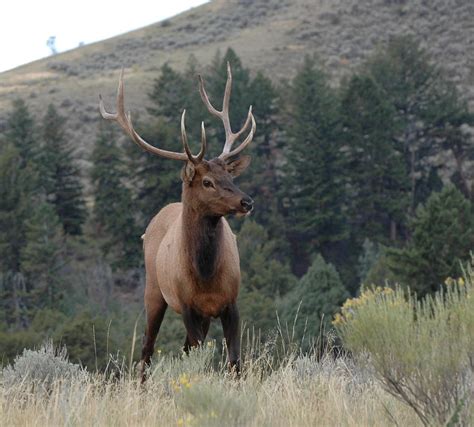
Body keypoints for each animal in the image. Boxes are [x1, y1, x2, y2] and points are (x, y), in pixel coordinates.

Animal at [98, 62, 256, 382]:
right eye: (207, 182)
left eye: (230, 176)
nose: (247, 201)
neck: (206, 275)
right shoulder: (187, 306)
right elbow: (200, 360)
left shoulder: (230, 302)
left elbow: (235, 361)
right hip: (153, 292)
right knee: (146, 349)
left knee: (181, 350)